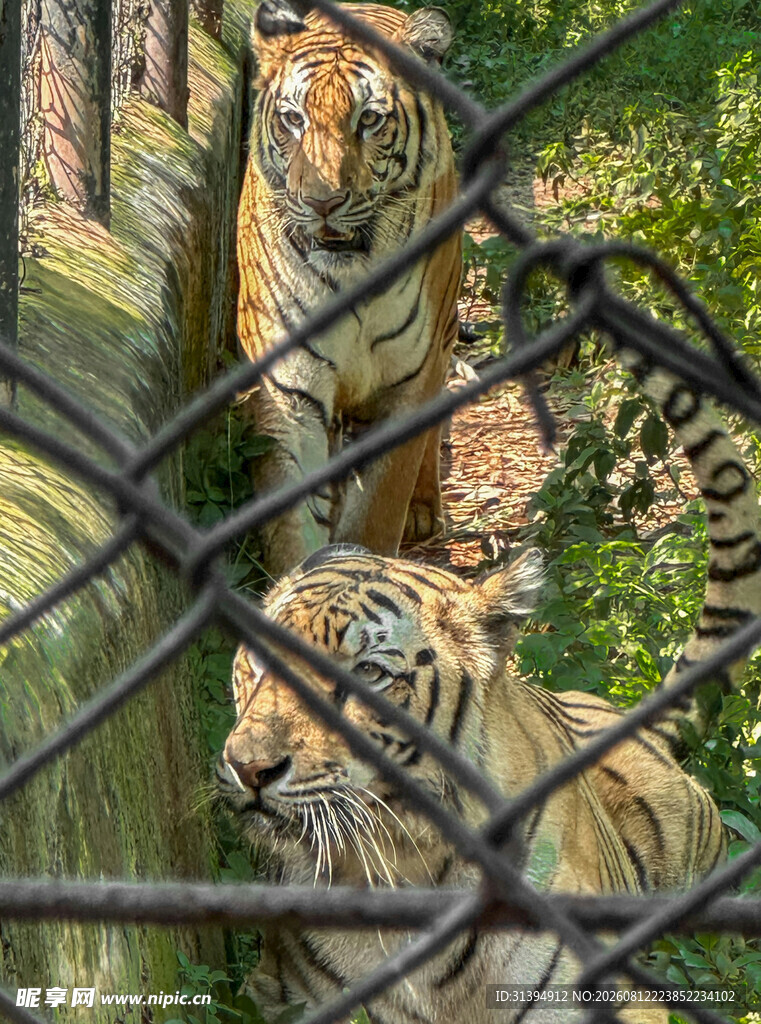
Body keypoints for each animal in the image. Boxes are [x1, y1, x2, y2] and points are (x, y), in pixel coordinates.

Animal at [237, 0, 462, 576]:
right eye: (294, 119)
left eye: (370, 119)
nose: (322, 201)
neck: (350, 275)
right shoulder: (288, 390)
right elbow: (292, 522)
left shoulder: (408, 380)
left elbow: (375, 513)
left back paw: (423, 509)